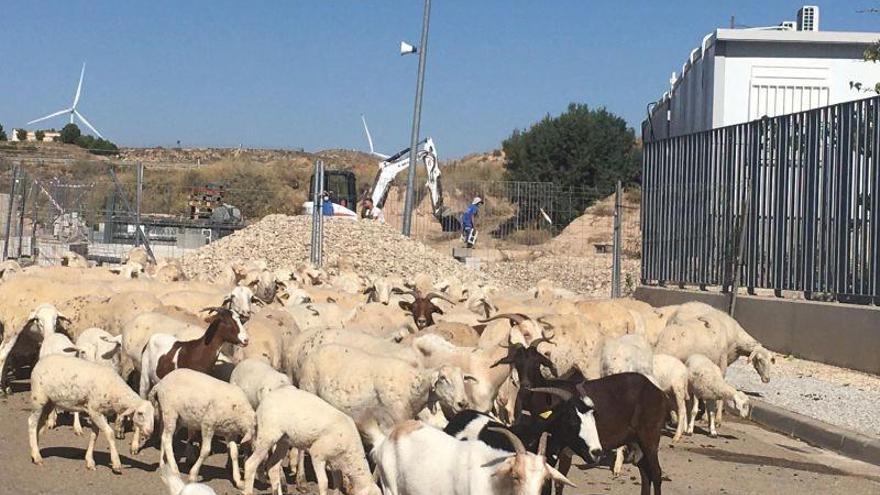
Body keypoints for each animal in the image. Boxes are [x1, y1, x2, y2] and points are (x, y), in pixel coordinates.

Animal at [27, 356, 155, 472]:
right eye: (140, 413)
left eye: (153, 415)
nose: (150, 432)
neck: (115, 390)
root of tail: (39, 362)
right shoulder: (94, 411)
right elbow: (109, 433)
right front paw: (116, 463)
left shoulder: (96, 413)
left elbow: (94, 436)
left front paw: (90, 461)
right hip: (38, 398)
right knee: (32, 423)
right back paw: (37, 457)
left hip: (49, 403)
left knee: (39, 425)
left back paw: (34, 452)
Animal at [242, 388, 380, 495]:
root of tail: (261, 404)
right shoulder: (317, 453)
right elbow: (324, 483)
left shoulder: (334, 462)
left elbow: (337, 483)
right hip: (267, 435)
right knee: (250, 464)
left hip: (283, 441)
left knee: (273, 467)